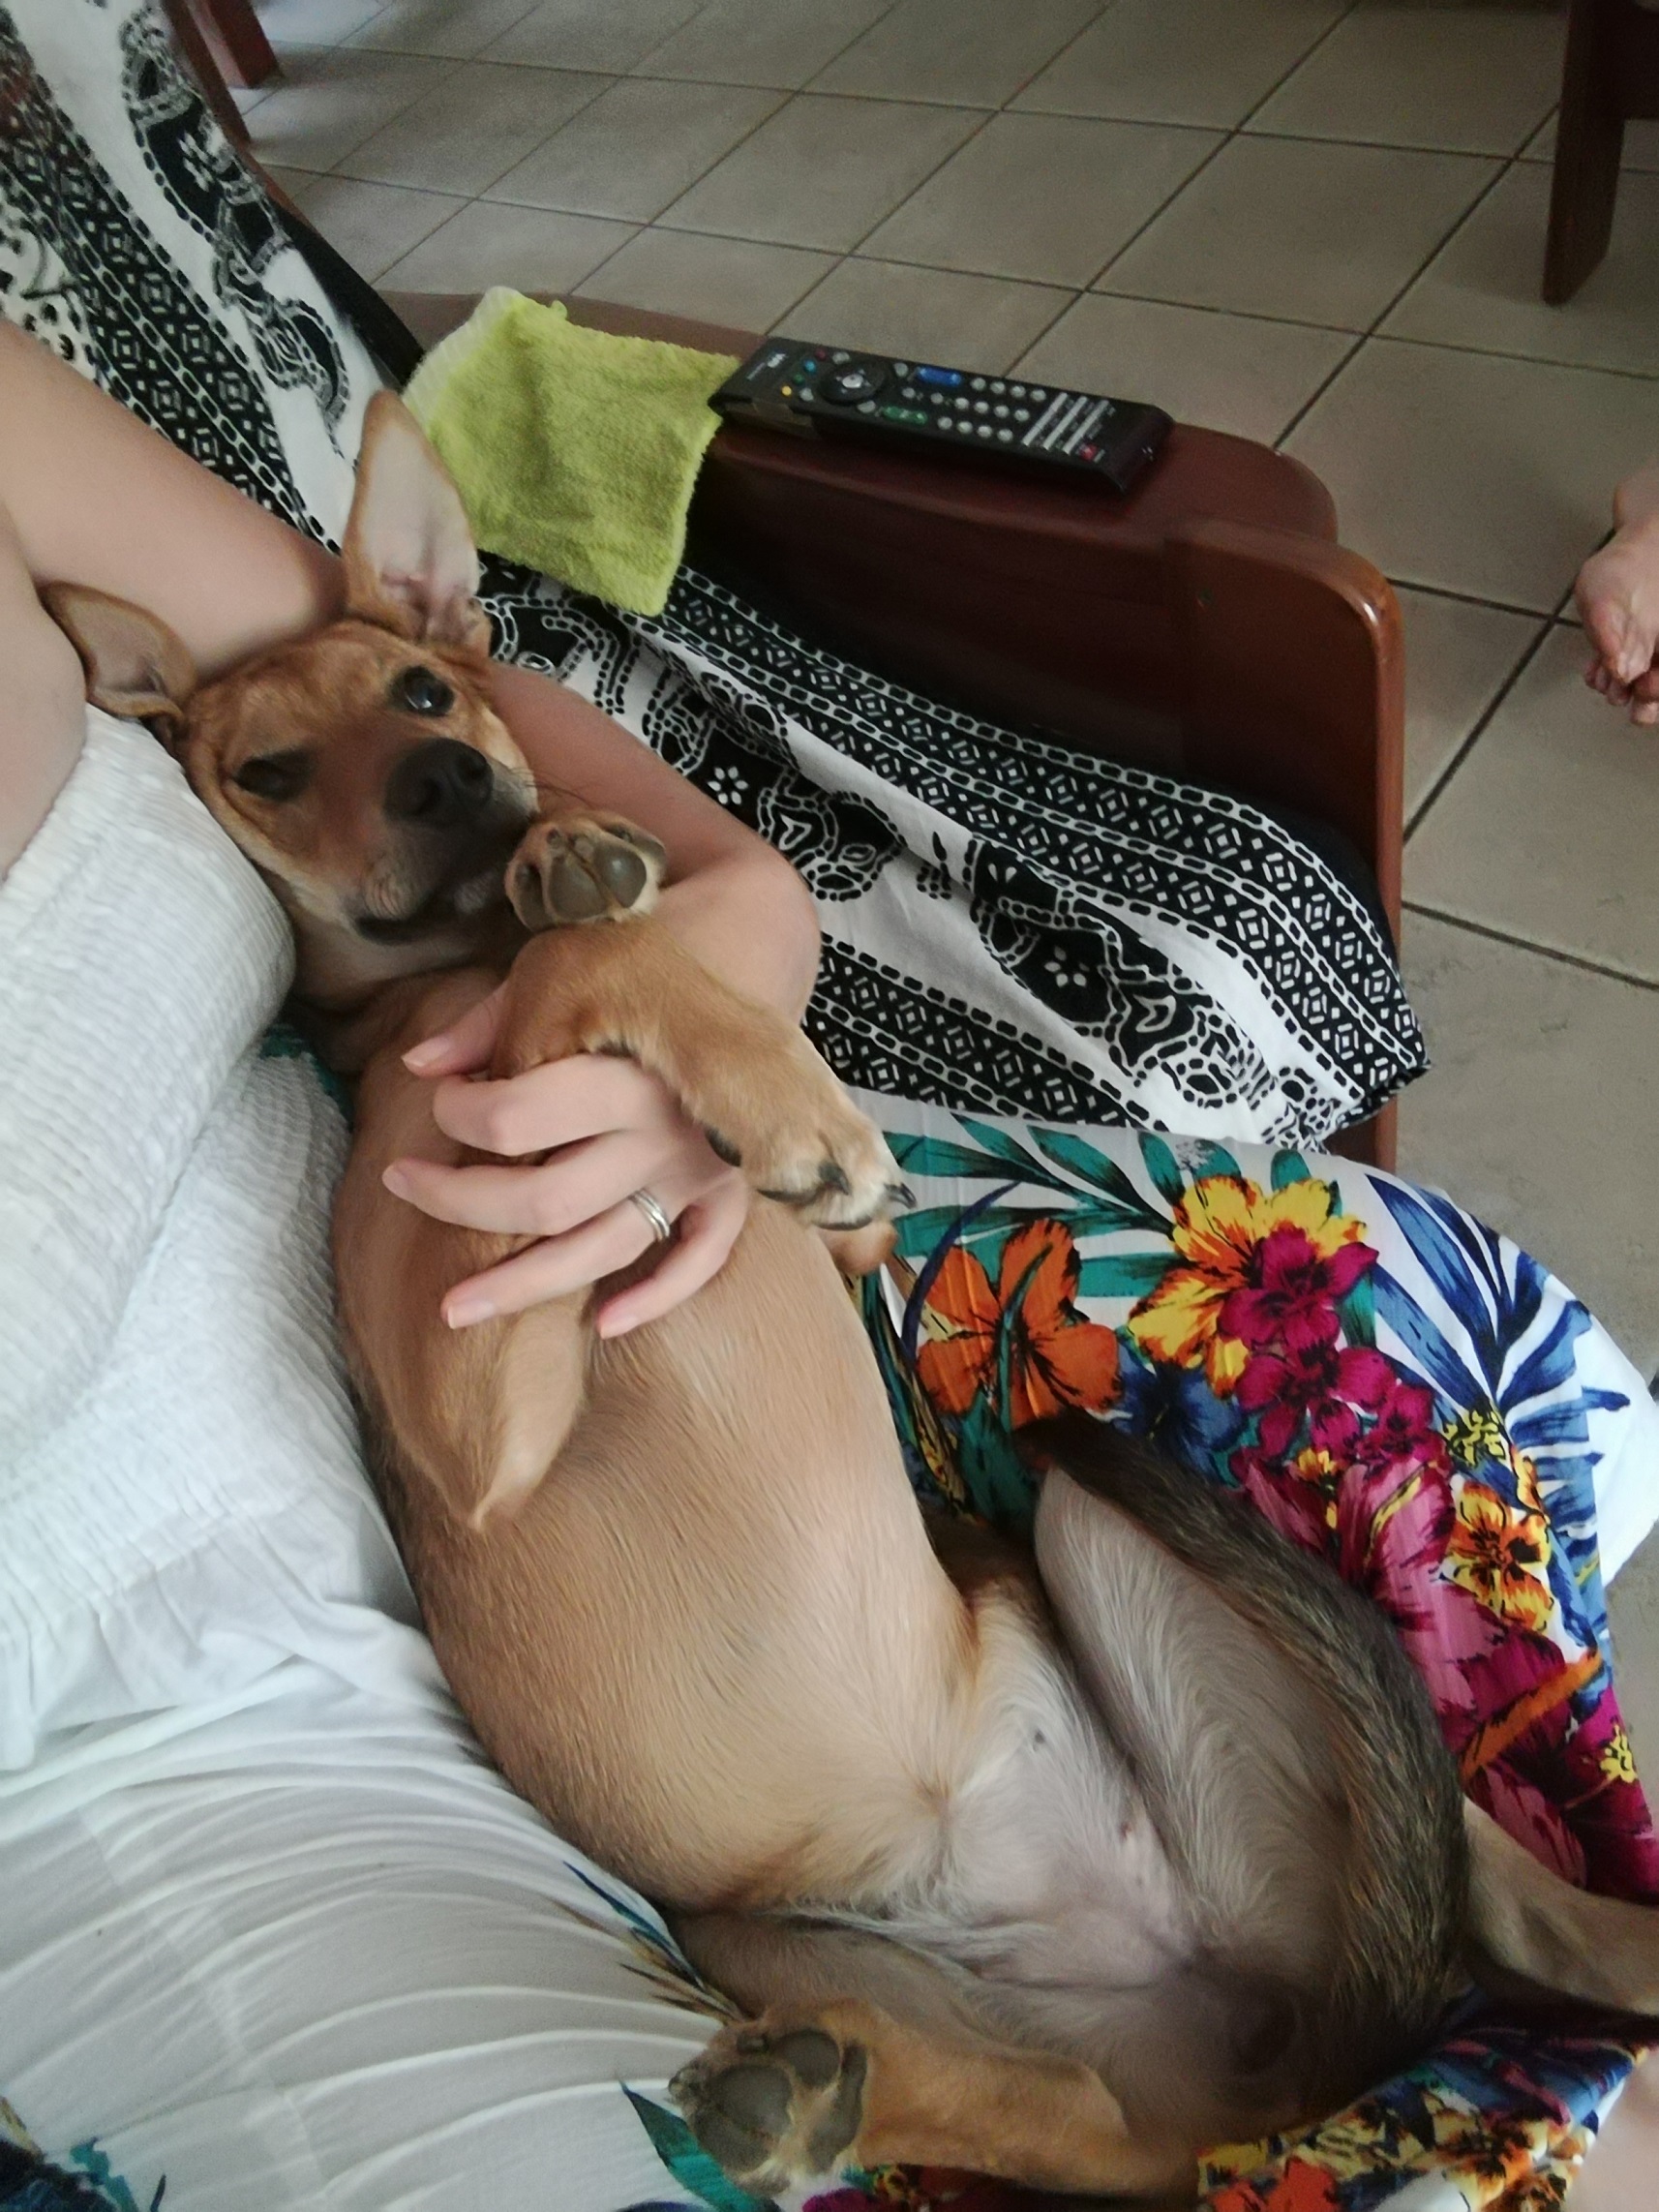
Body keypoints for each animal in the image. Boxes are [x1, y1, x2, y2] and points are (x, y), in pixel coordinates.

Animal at [47, 392, 1659, 2202]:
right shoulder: (478, 1425)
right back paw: (806, 2100)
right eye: (263, 772)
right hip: (827, 1890)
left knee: (1489, 1898)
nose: (452, 776)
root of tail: (1270, 2052)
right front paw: (729, 1055)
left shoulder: (821, 1252)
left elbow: (611, 985)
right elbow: (581, 979)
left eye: (420, 690)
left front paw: (585, 881)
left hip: (1131, 1583)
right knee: (1067, 2116)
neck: (429, 1000)